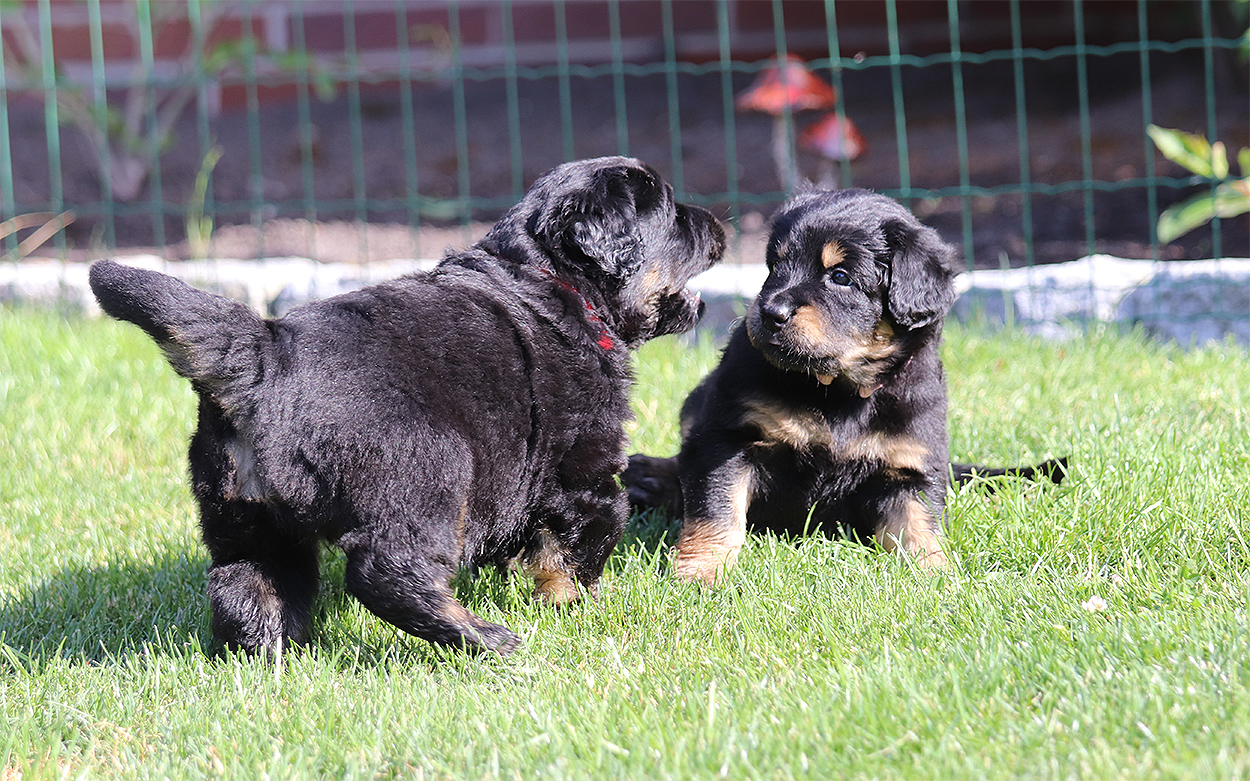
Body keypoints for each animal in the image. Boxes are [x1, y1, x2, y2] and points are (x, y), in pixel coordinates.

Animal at [90, 157, 726, 655]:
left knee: (246, 585)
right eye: (672, 213)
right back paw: (484, 639)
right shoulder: (583, 468)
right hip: (428, 467)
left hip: (242, 514)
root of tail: (265, 353)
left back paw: (271, 658)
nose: (718, 224)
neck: (551, 278)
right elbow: (580, 544)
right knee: (386, 572)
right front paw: (577, 609)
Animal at [622, 188, 1064, 585]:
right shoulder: (727, 436)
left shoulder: (910, 461)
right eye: (775, 266)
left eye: (840, 277)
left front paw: (937, 576)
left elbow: (920, 524)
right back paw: (644, 477)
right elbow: (716, 511)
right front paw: (701, 573)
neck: (839, 390)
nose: (770, 313)